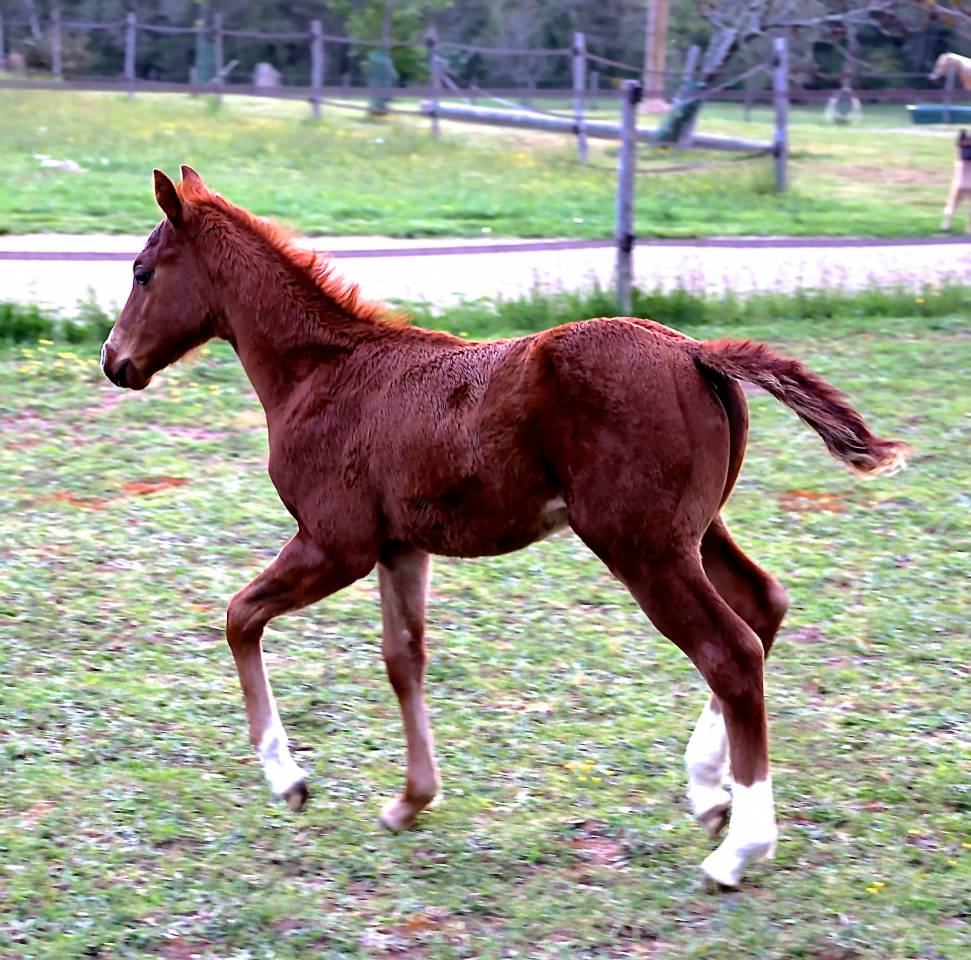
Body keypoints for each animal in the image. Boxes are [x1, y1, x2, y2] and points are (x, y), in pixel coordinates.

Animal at [100, 167, 908, 888]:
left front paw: (289, 781)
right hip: (694, 530)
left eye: (143, 272)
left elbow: (240, 616)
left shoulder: (337, 544)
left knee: (730, 651)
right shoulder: (400, 547)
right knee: (763, 606)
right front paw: (409, 801)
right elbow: (403, 659)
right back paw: (710, 792)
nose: (115, 360)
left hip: (641, 545)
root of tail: (694, 352)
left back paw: (739, 849)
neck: (321, 374)